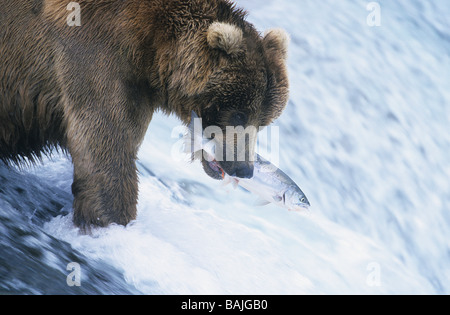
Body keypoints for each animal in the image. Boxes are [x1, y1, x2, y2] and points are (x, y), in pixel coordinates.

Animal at [0, 0, 288, 228]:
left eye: (263, 121)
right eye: (239, 114)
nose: (244, 168)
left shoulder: (139, 90)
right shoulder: (97, 58)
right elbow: (106, 151)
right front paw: (113, 221)